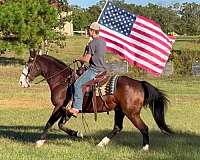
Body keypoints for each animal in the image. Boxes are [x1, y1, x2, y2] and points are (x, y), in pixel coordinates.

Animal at [19, 52, 172, 151]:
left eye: (28, 65)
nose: (21, 82)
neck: (63, 81)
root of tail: (139, 83)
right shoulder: (68, 109)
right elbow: (61, 124)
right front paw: (77, 133)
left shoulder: (59, 106)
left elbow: (50, 122)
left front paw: (39, 142)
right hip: (120, 111)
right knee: (117, 128)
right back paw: (101, 144)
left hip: (132, 113)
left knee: (144, 128)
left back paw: (144, 148)